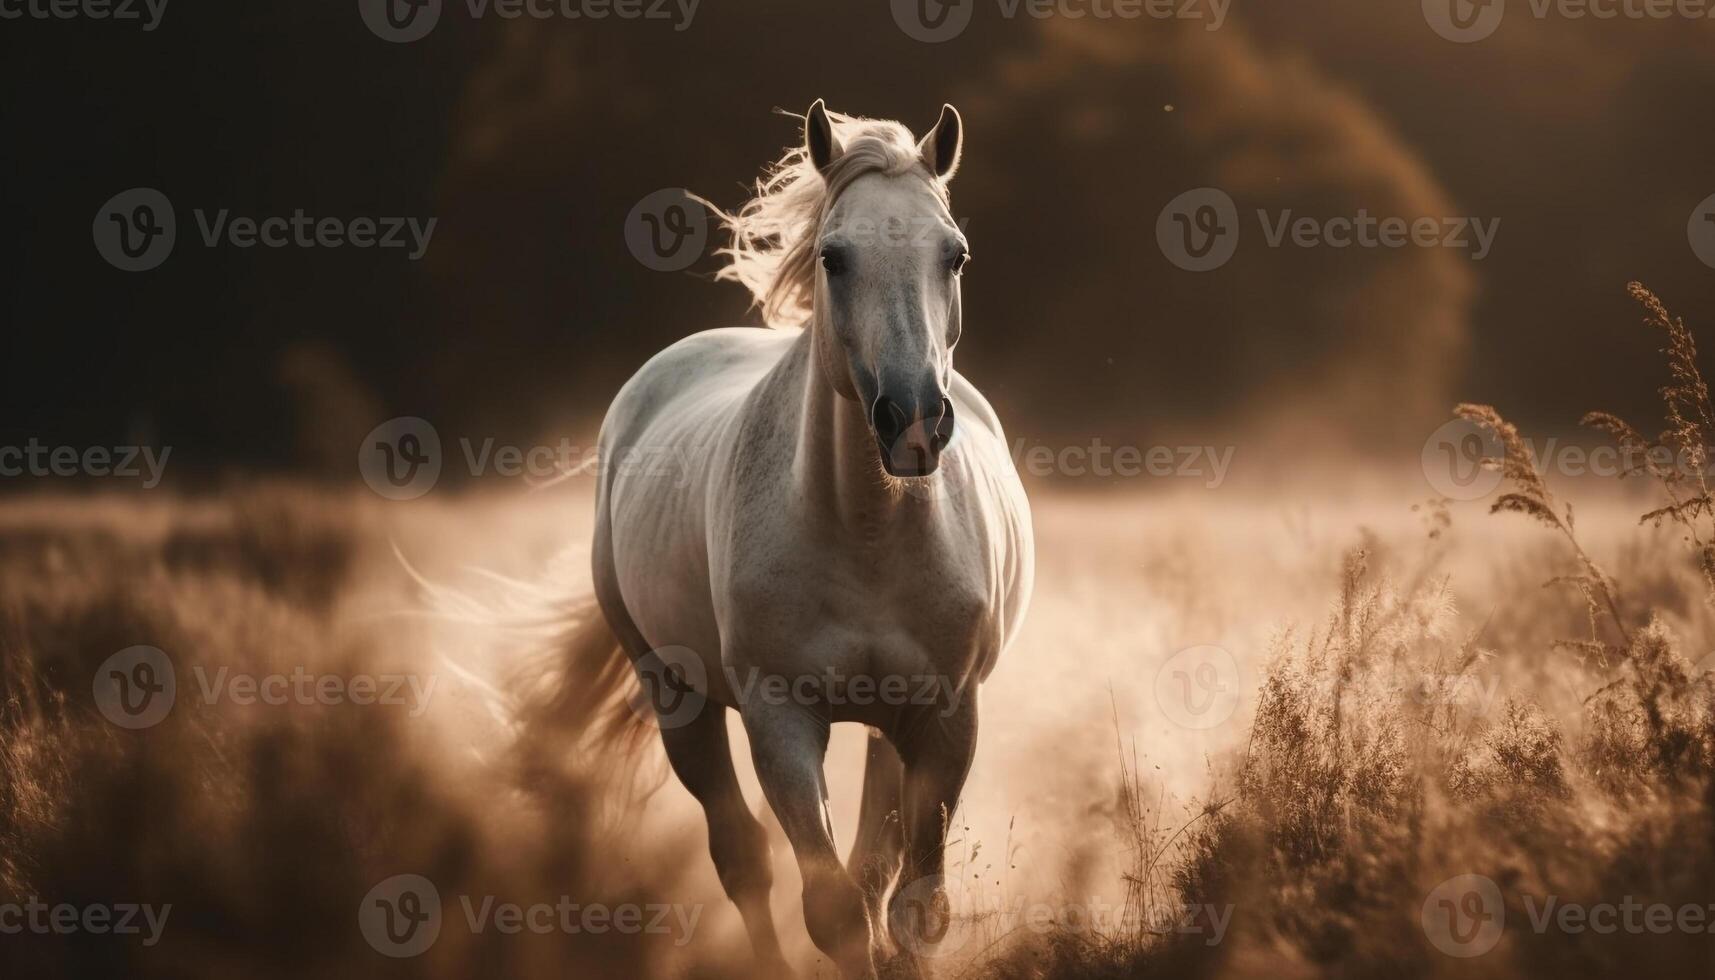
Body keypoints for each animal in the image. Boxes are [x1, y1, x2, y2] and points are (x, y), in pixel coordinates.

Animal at [555, 101, 1029, 980]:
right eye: (833, 258)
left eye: (954, 254)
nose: (914, 420)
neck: (867, 531)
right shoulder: (779, 721)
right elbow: (832, 908)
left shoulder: (945, 719)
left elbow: (913, 906)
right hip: (675, 694)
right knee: (741, 856)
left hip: (882, 728)